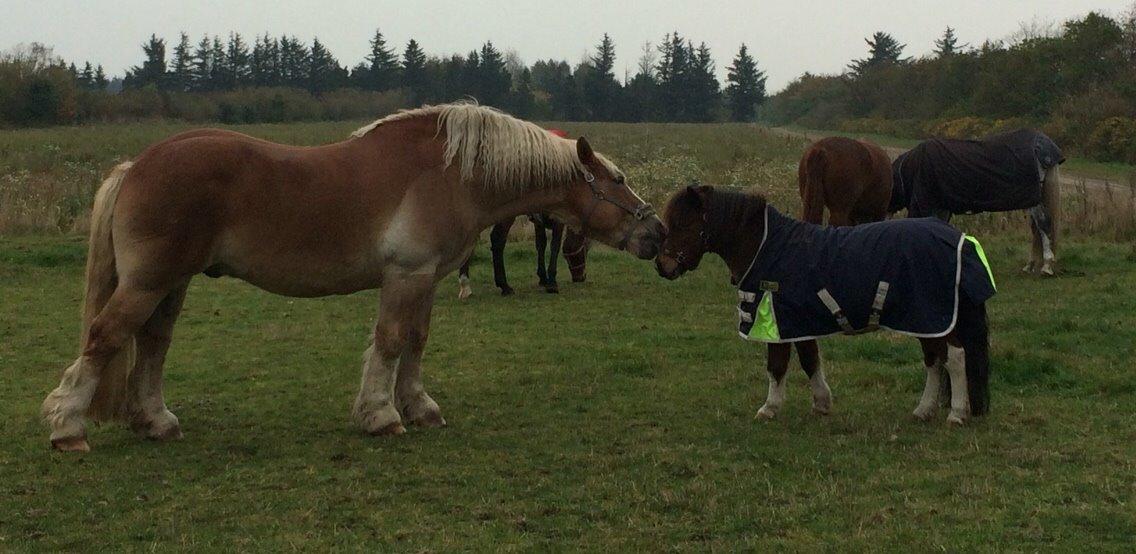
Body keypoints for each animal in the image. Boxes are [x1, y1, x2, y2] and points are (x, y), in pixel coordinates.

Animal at [456, 213, 590, 299]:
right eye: (586, 248)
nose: (581, 277)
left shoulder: (538, 221)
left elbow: (541, 244)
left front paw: (543, 278)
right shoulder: (558, 220)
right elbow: (554, 246)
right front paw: (552, 283)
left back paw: (465, 285)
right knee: (497, 240)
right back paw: (504, 286)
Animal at [658, 186, 995, 424]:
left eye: (683, 224)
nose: (662, 266)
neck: (764, 245)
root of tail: (959, 239)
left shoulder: (776, 319)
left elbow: (777, 365)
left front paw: (769, 408)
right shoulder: (798, 321)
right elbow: (810, 360)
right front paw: (821, 403)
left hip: (933, 317)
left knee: (954, 358)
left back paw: (956, 413)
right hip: (924, 319)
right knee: (934, 361)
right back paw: (924, 410)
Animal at [886, 130, 1063, 277]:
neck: (915, 165)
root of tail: (1042, 142)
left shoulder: (926, 204)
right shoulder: (941, 208)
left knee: (1044, 225)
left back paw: (1046, 266)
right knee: (1036, 230)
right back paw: (1030, 265)